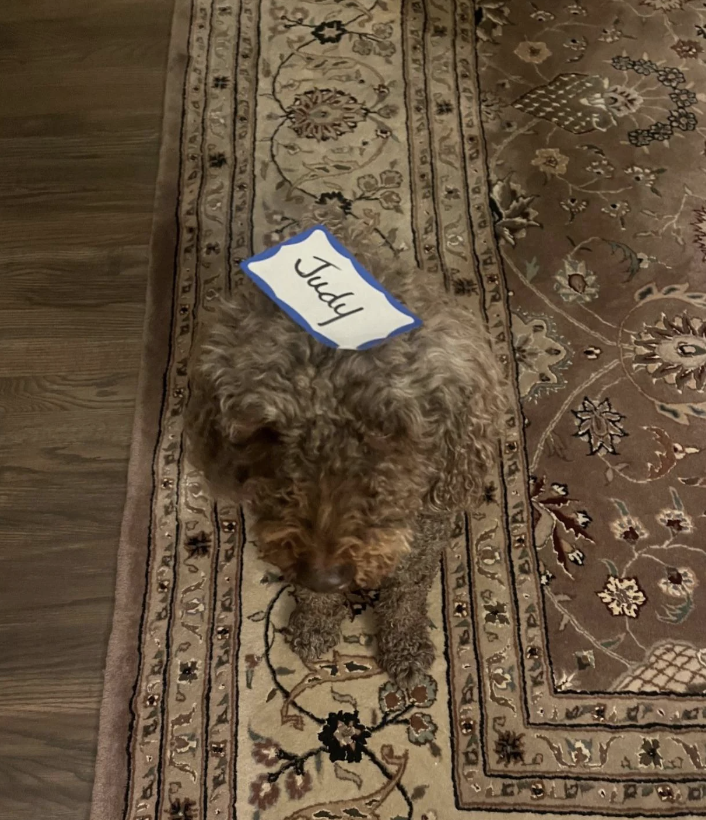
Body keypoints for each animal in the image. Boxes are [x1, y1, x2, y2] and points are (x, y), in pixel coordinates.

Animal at [186, 210, 506, 684]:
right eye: (268, 430)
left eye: (389, 429)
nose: (327, 576)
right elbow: (310, 596)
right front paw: (315, 623)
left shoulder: (423, 537)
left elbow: (407, 592)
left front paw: (405, 645)